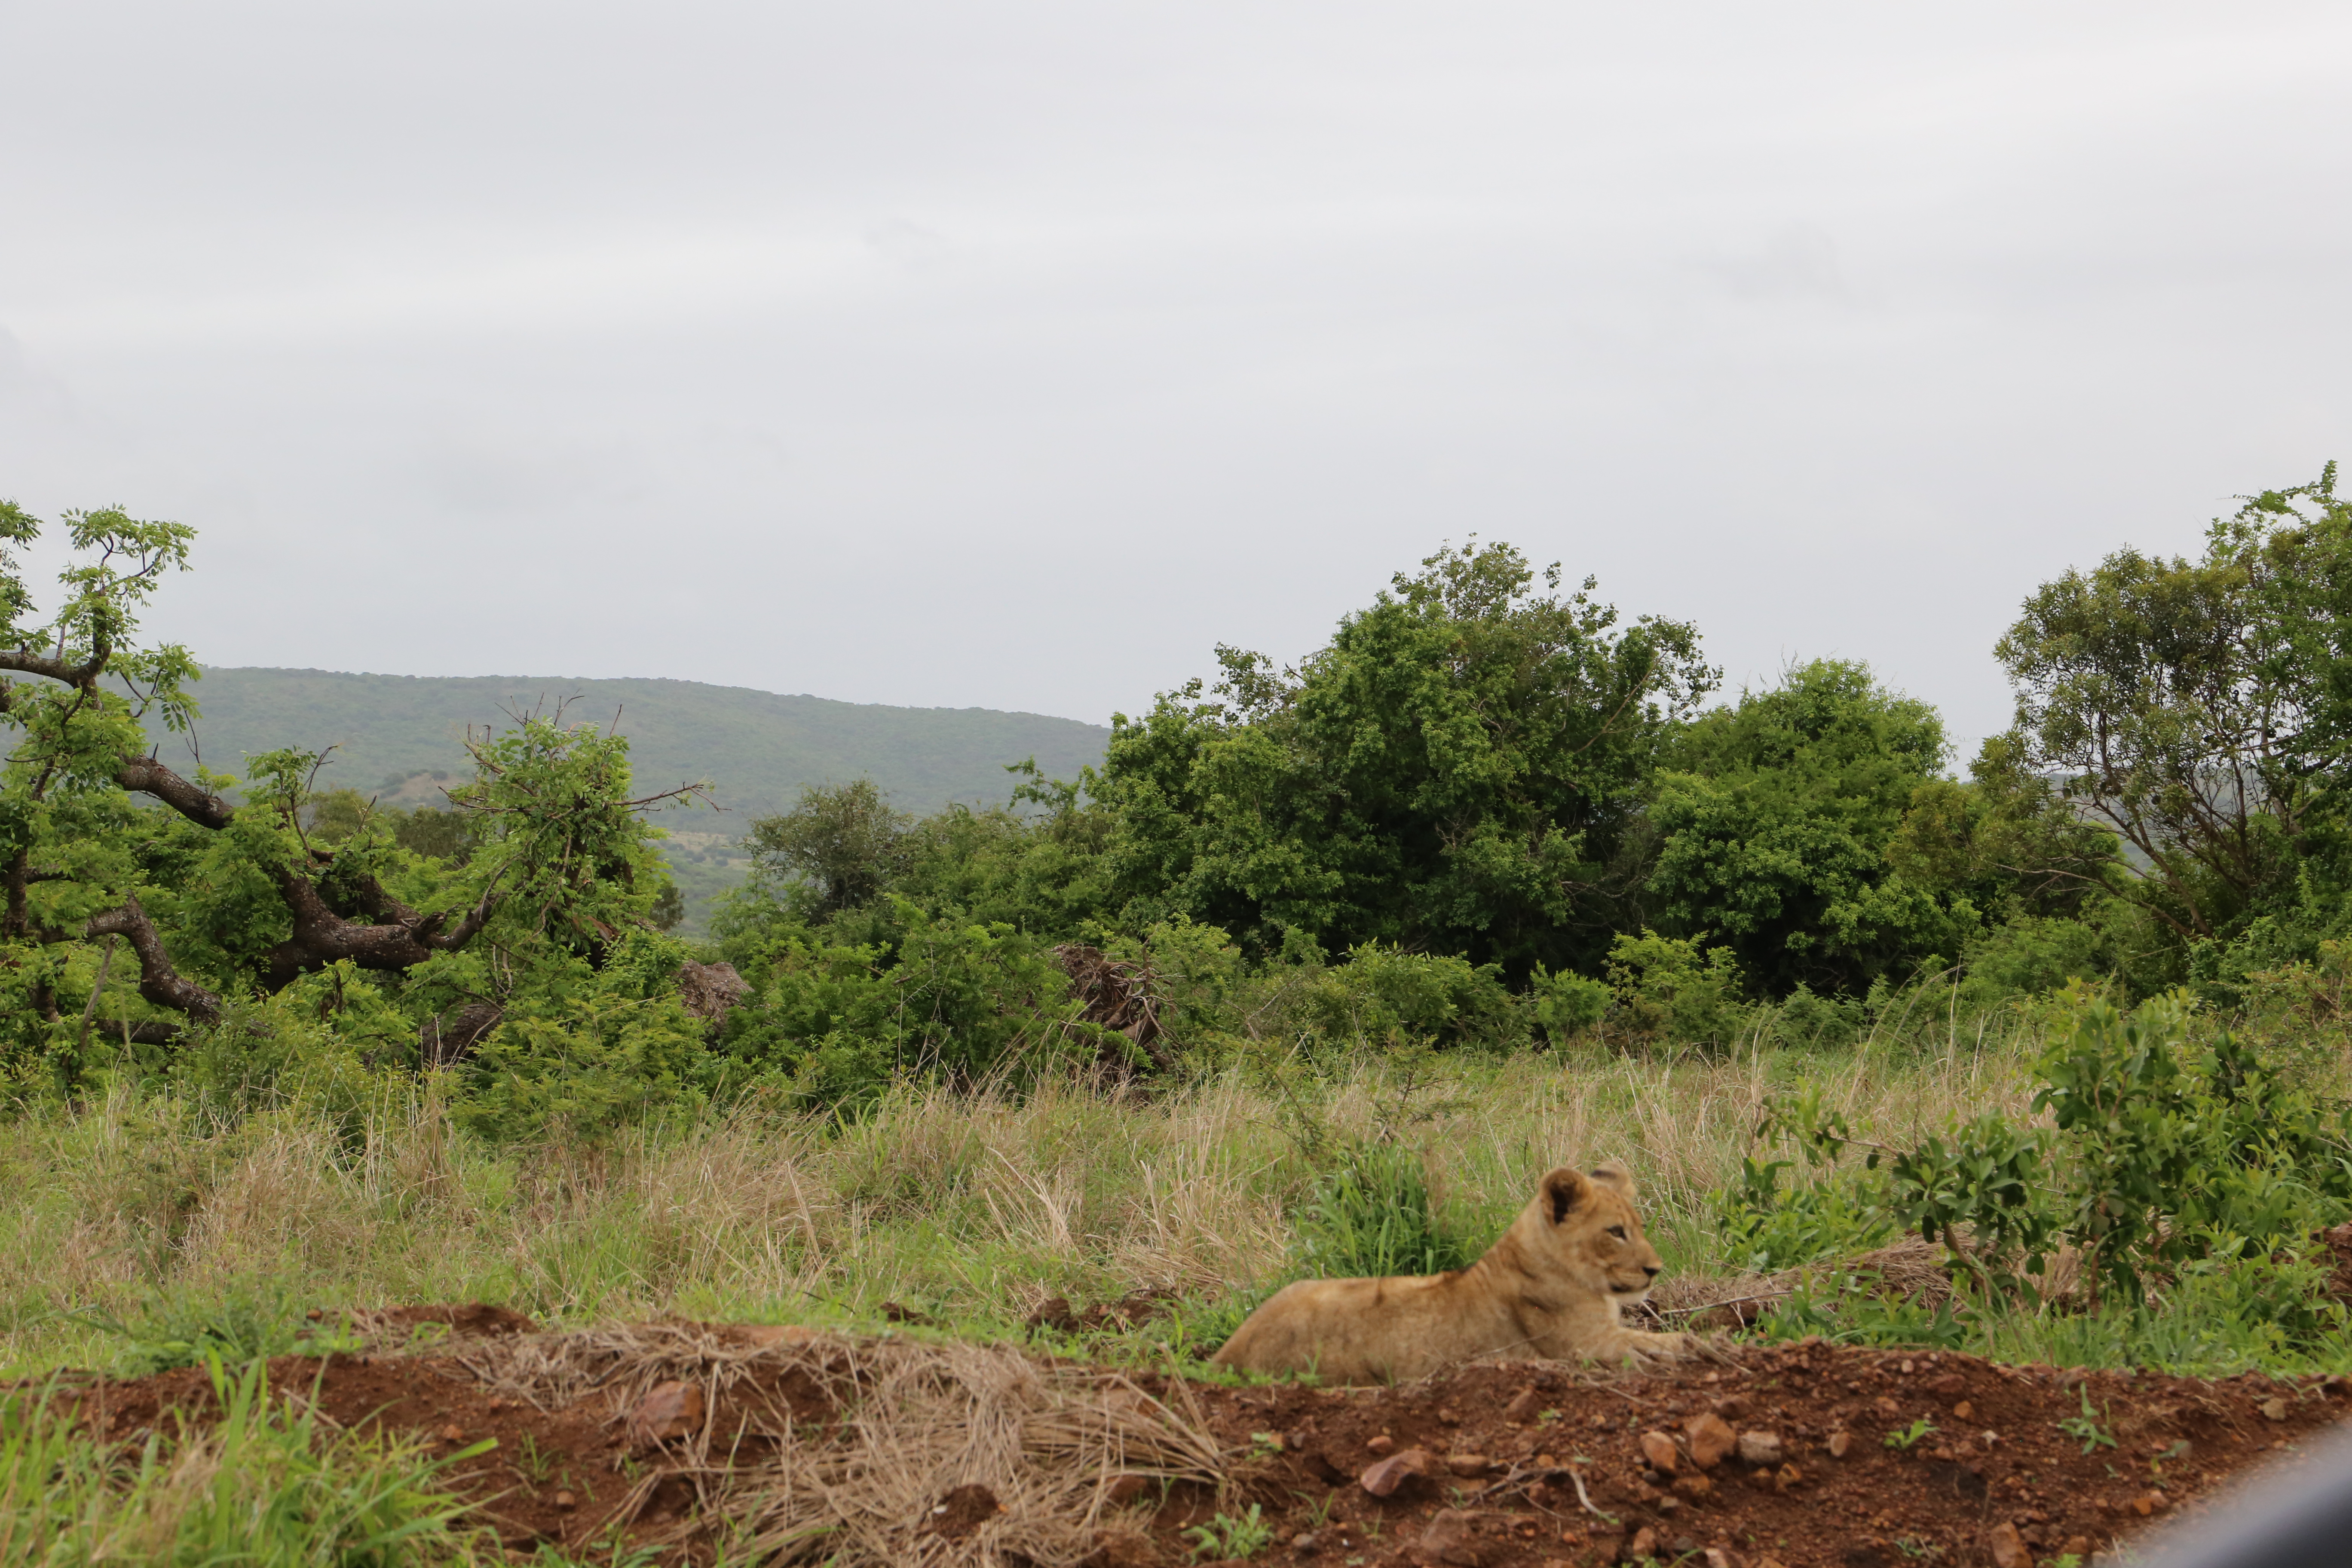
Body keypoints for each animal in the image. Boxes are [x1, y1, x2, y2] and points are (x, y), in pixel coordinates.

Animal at [1210, 1160, 1693, 1384]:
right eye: (1615, 1232)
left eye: (1639, 1227)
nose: (1655, 1270)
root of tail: (1229, 1351)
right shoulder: (1586, 1346)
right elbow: (1665, 1342)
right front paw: (1697, 1346)